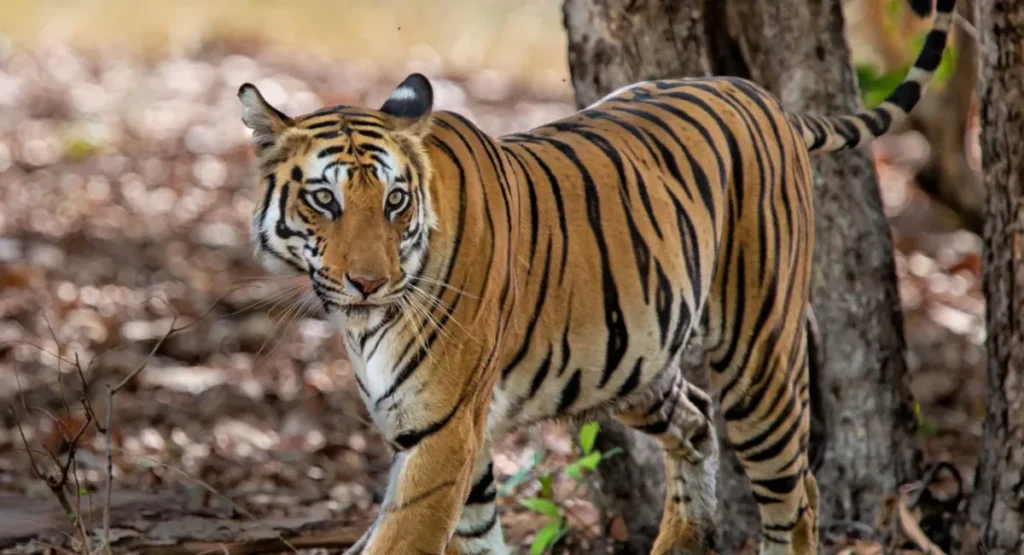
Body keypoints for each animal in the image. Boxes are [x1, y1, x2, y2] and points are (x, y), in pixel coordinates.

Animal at [235, 0, 953, 552]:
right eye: (324, 199)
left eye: (394, 201)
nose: (369, 282)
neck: (365, 325)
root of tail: (761, 94)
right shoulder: (449, 434)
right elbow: (478, 532)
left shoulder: (441, 434)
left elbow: (402, 538)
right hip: (631, 360)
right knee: (696, 420)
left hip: (759, 358)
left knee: (797, 492)